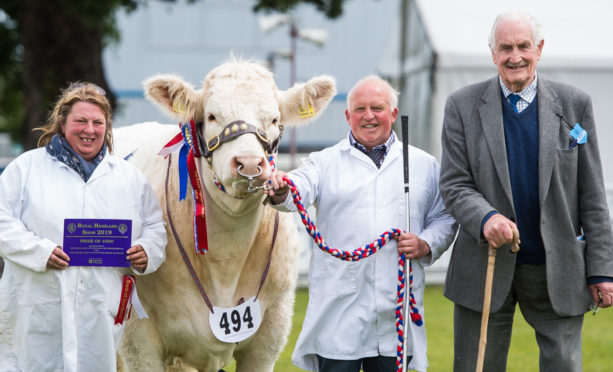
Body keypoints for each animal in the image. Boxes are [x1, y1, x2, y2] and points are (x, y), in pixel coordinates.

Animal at [114, 59, 334, 370]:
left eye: (274, 120)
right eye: (212, 116)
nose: (250, 163)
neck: (225, 258)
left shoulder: (269, 335)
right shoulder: (138, 339)